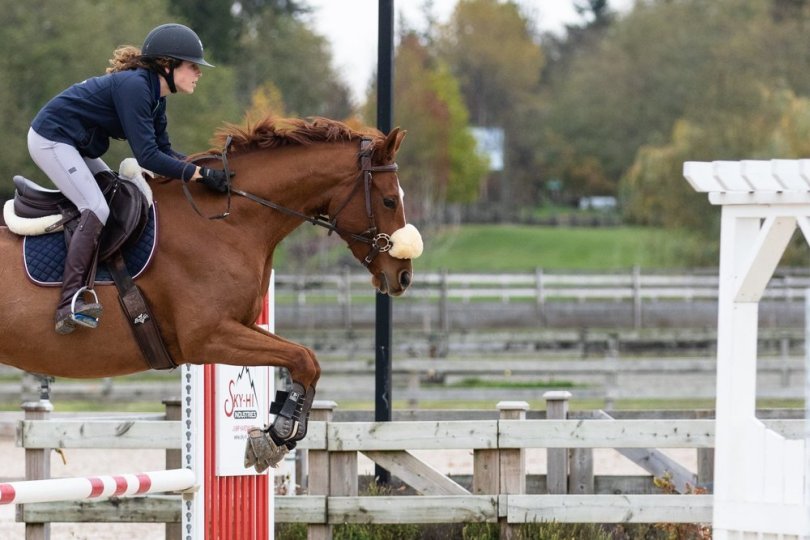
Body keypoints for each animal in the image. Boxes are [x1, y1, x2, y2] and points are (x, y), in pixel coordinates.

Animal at [0, 116, 420, 470]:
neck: (229, 220)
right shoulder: (208, 337)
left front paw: (281, 430)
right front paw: (277, 434)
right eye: (389, 199)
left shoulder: (240, 325)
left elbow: (308, 360)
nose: (402, 276)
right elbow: (302, 358)